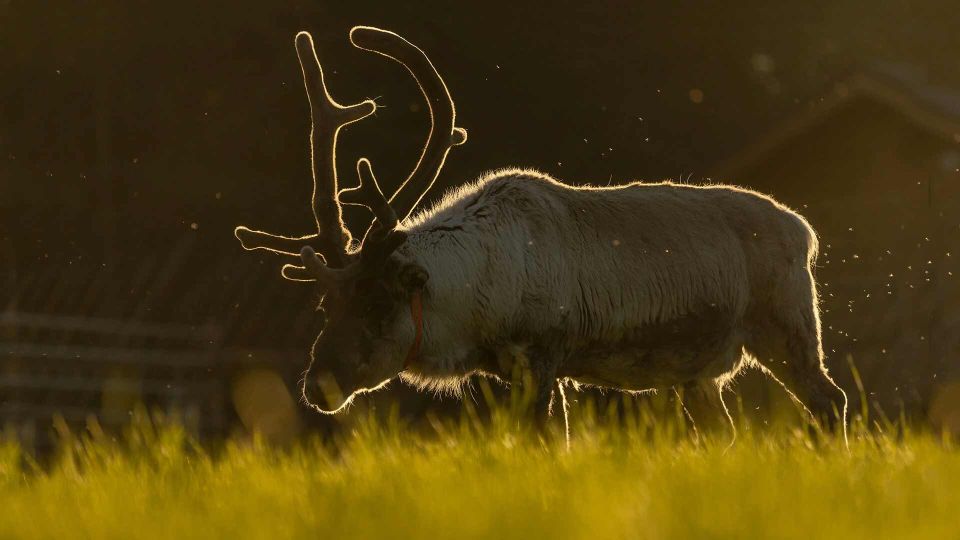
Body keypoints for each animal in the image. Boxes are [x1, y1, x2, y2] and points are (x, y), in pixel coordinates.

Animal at [234, 26, 848, 442]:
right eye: (326, 303)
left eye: (379, 301)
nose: (319, 383)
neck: (477, 287)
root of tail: (804, 231)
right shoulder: (517, 370)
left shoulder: (542, 353)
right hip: (698, 372)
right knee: (725, 430)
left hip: (785, 325)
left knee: (830, 399)